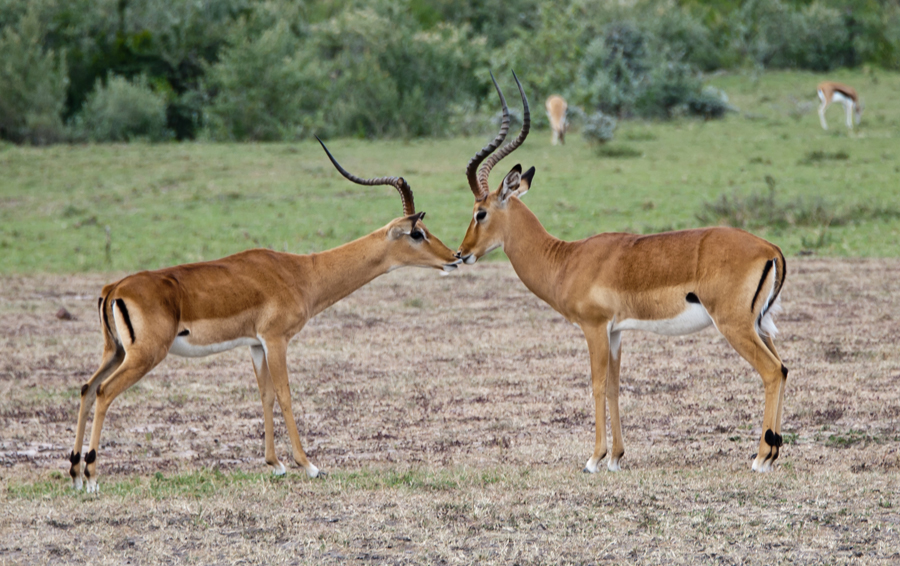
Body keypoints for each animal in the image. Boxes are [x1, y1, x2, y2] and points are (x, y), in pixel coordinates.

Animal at [68, 141, 464, 492]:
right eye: (417, 232)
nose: (456, 256)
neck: (302, 272)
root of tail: (115, 287)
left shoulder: (255, 345)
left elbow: (265, 396)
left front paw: (275, 465)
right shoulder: (276, 340)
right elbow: (286, 395)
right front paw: (309, 465)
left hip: (116, 352)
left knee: (86, 388)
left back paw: (75, 474)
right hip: (145, 355)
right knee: (103, 391)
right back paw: (92, 478)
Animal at [458, 74, 788, 474]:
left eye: (480, 213)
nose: (461, 253)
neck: (566, 259)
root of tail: (769, 248)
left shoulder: (594, 327)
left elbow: (597, 384)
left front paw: (594, 458)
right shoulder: (615, 332)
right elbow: (615, 387)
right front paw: (616, 456)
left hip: (735, 326)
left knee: (771, 371)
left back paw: (761, 458)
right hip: (760, 324)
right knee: (783, 368)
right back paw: (772, 452)